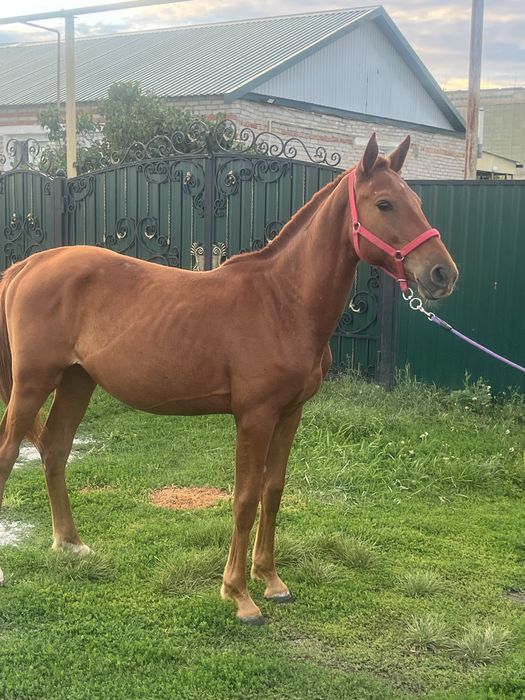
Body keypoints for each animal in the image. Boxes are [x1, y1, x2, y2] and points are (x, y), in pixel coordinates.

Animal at [0, 134, 458, 624]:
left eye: (417, 201)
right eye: (385, 203)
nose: (442, 273)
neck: (283, 302)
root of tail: (29, 265)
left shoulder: (290, 414)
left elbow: (273, 491)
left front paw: (272, 580)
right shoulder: (254, 417)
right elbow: (244, 497)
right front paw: (239, 594)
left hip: (76, 381)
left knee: (55, 449)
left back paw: (71, 544)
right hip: (33, 383)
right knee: (10, 453)